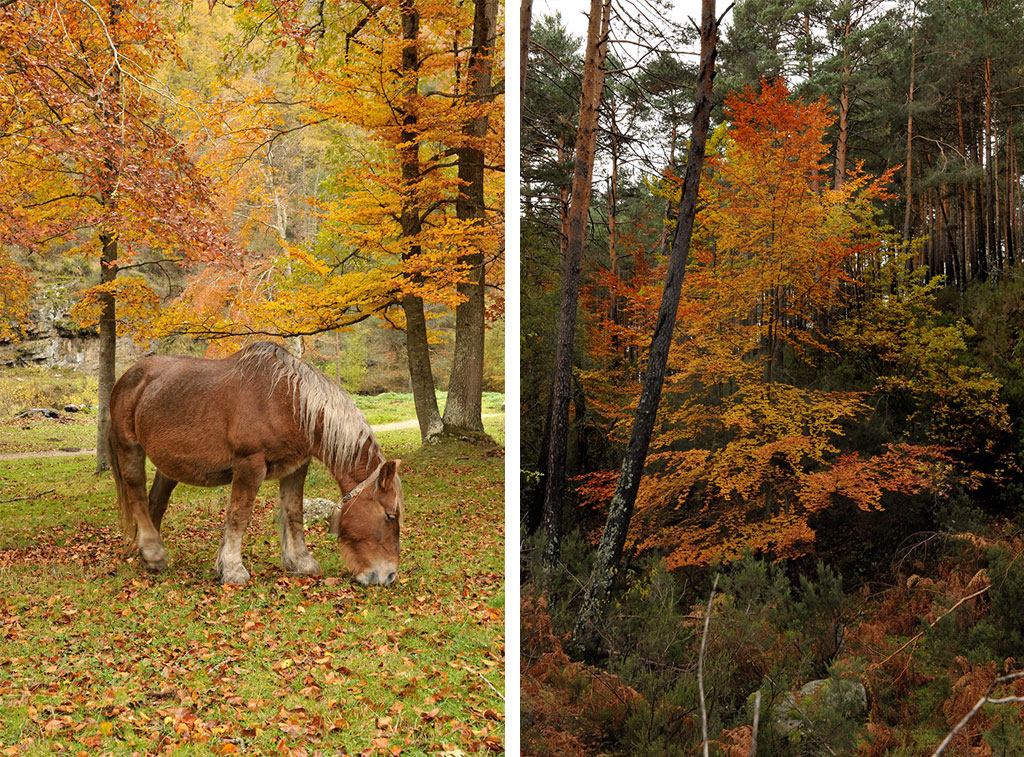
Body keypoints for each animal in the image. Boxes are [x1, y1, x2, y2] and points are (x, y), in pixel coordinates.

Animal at [105, 342, 401, 585]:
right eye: (390, 516)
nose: (388, 576)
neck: (288, 401)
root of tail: (127, 379)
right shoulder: (250, 465)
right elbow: (239, 515)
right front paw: (233, 569)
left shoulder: (296, 467)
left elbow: (293, 512)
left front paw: (300, 562)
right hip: (129, 449)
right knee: (136, 494)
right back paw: (153, 551)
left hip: (169, 466)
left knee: (156, 502)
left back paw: (147, 556)